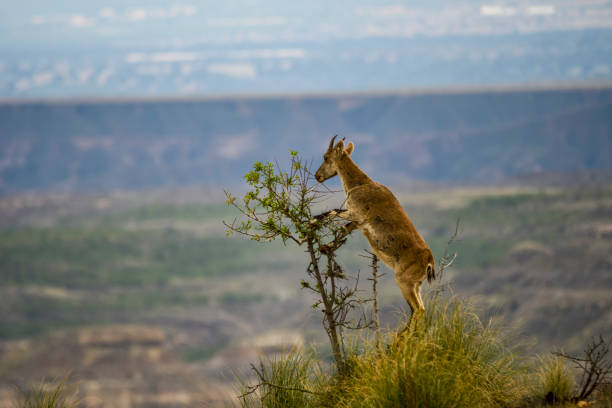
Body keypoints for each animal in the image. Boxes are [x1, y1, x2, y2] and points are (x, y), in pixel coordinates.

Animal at [316, 137, 436, 328]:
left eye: (326, 157)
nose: (317, 176)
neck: (360, 185)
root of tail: (429, 262)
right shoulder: (358, 223)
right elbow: (344, 229)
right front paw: (325, 247)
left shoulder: (355, 213)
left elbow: (332, 212)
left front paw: (312, 223)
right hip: (417, 285)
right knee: (421, 309)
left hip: (404, 281)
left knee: (417, 309)